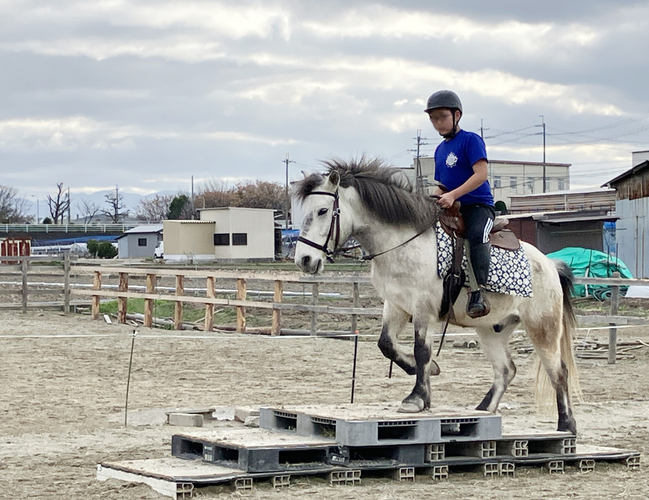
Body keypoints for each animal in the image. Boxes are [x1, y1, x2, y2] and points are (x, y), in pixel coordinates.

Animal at [293, 157, 581, 435]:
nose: (304, 260)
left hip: (542, 327)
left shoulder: (423, 309)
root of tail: (550, 264)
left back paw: (567, 424)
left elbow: (421, 350)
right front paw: (427, 370)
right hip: (491, 330)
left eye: (322, 211)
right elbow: (386, 344)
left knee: (559, 371)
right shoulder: (396, 305)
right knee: (506, 370)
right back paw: (483, 410)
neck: (402, 242)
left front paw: (417, 398)